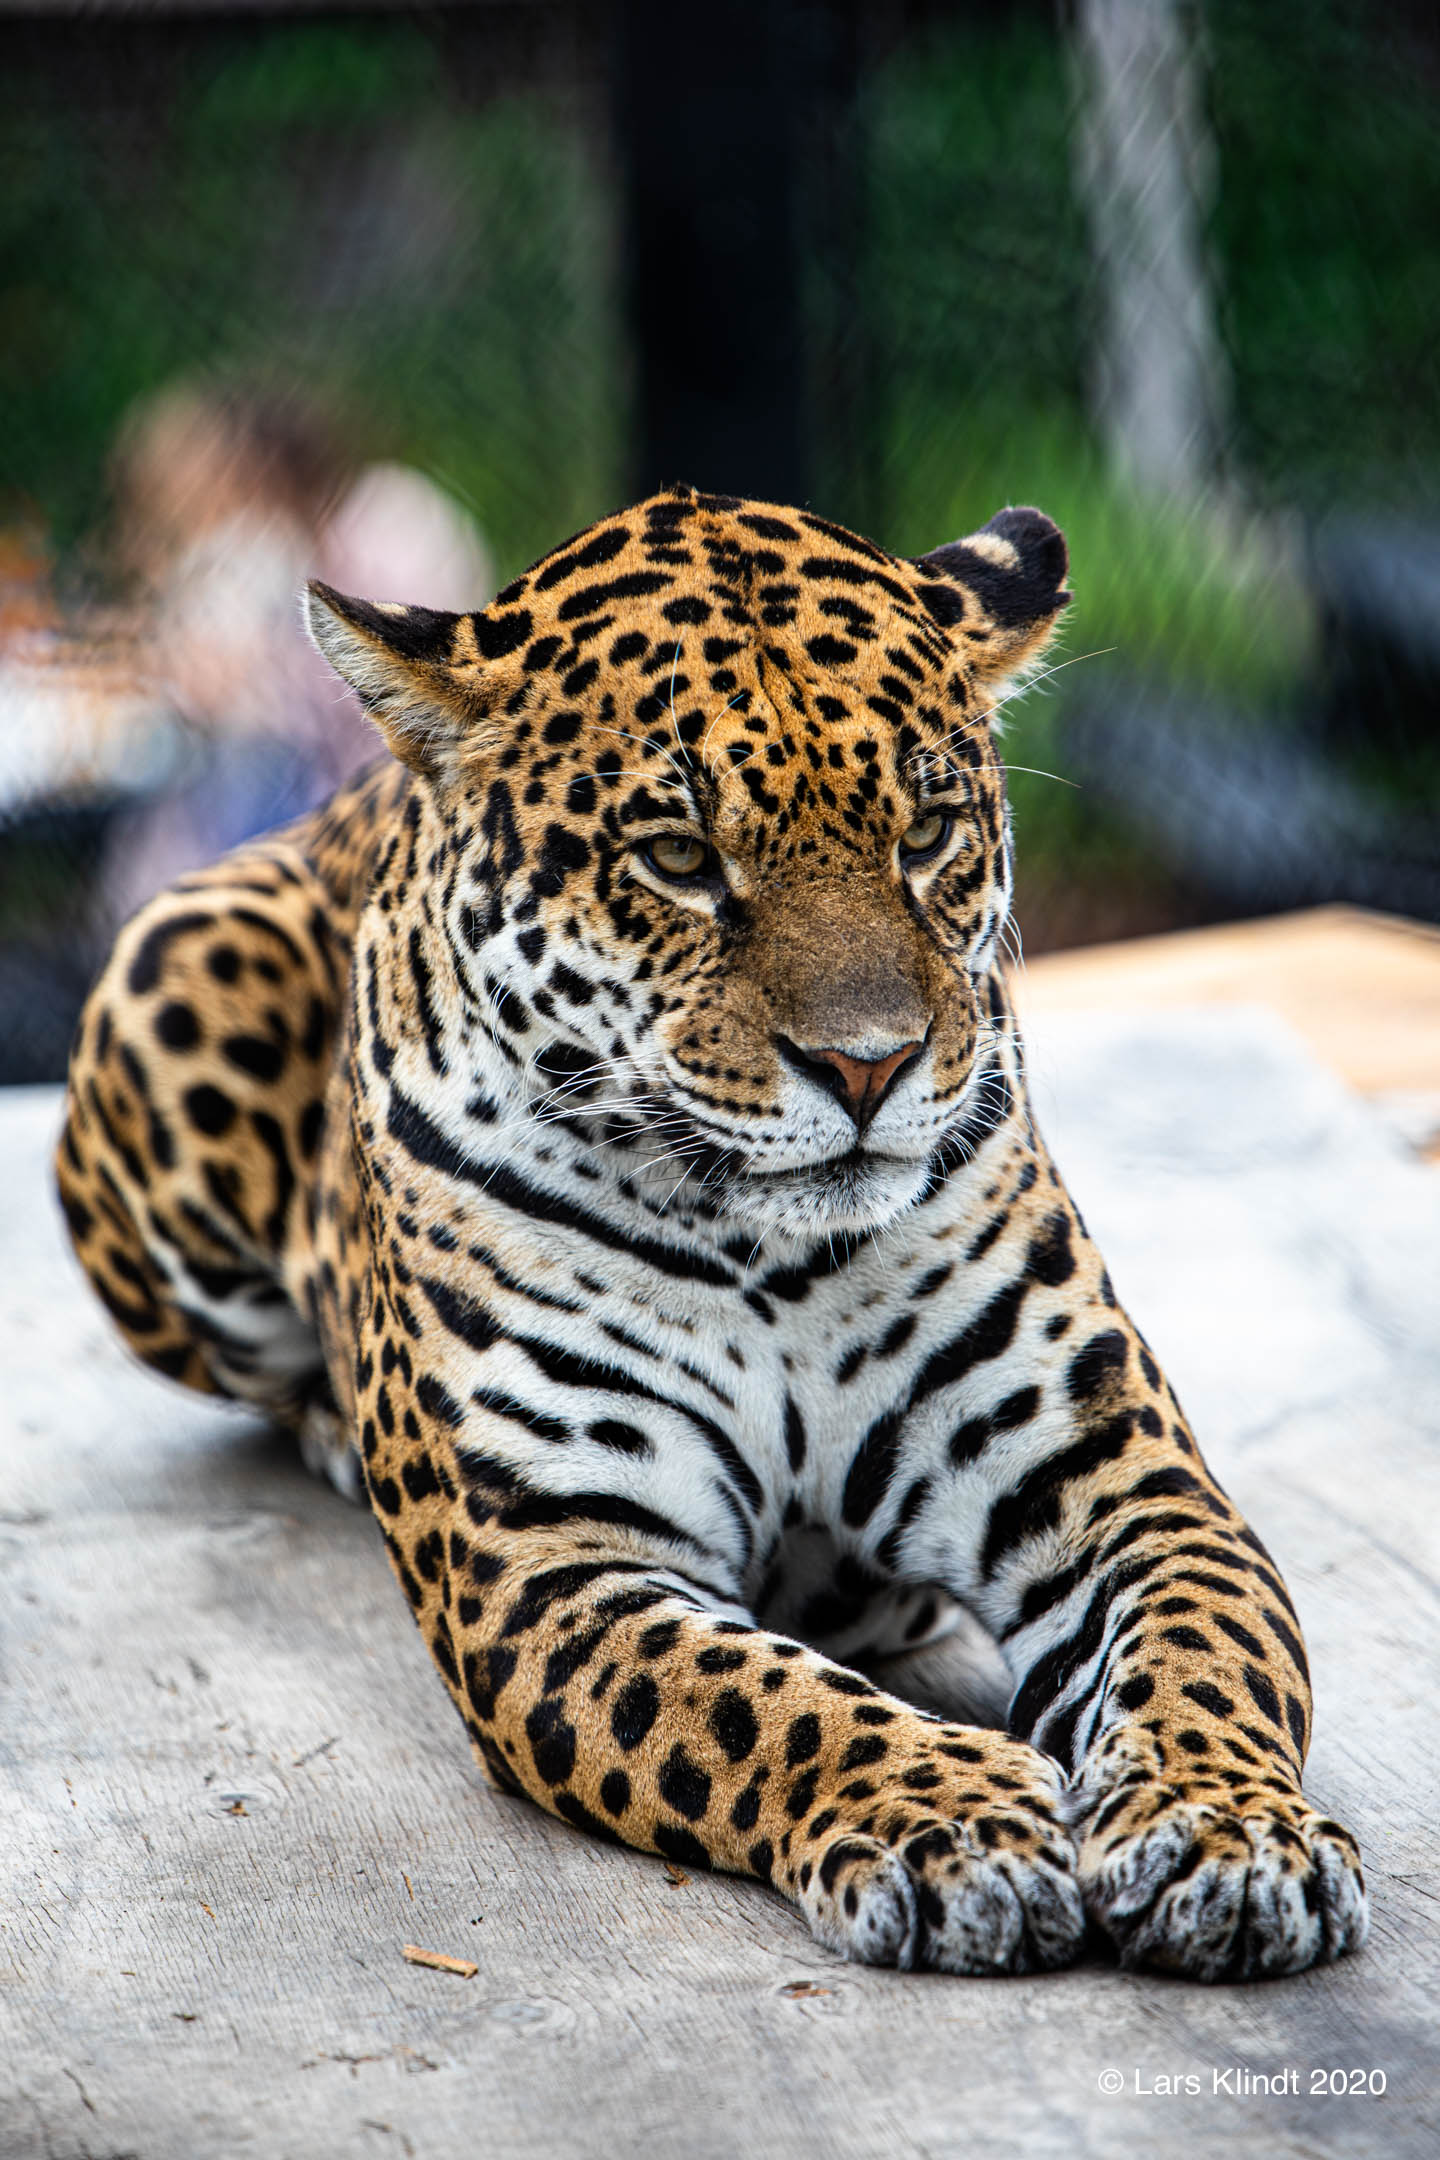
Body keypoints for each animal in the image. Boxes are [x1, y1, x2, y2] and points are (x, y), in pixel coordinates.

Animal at [56, 483, 1368, 1981]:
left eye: (928, 834)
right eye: (679, 861)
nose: (868, 1066)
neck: (768, 1254)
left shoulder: (1116, 1480)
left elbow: (1208, 1648)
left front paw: (1231, 1833)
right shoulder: (552, 1563)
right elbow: (759, 1703)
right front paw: (955, 1821)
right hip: (172, 965)